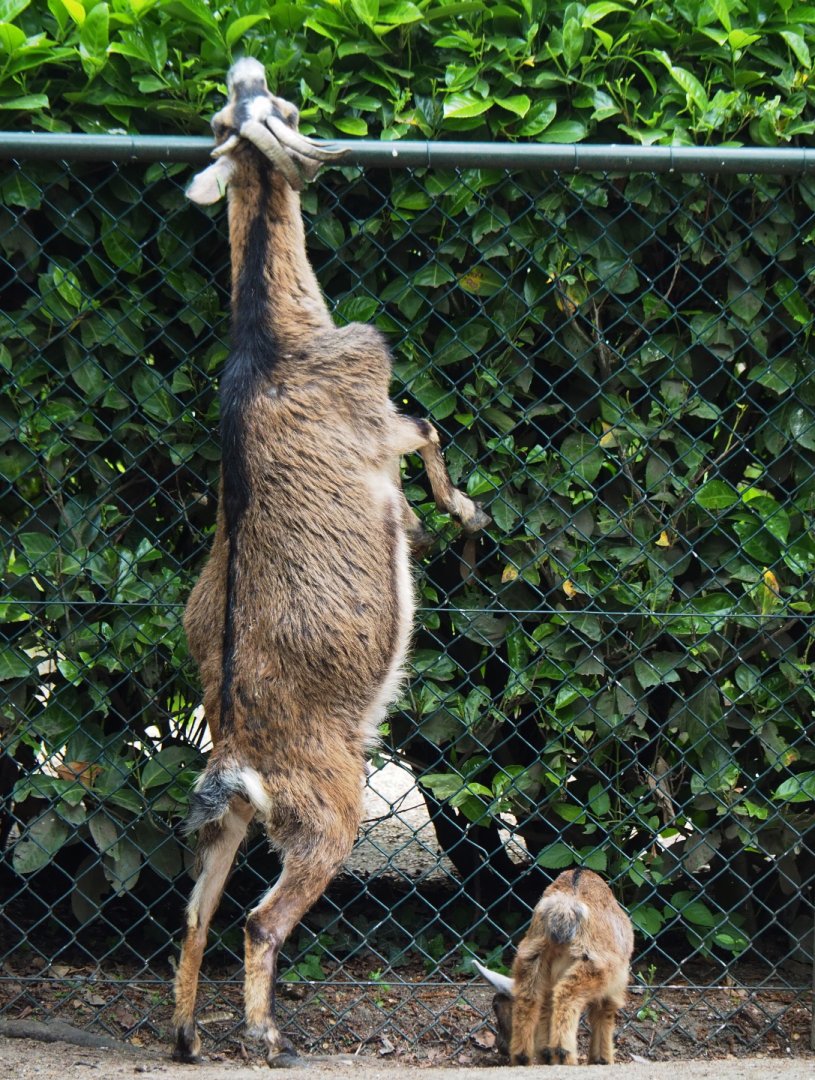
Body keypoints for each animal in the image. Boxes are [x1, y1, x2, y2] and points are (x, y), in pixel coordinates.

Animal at [172, 58, 490, 1068]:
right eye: (277, 111)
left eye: (231, 110)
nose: (248, 66)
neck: (273, 339)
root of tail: (240, 754)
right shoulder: (381, 421)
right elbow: (431, 434)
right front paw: (460, 517)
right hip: (327, 813)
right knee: (259, 922)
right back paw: (264, 1033)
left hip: (230, 823)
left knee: (196, 917)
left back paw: (186, 1036)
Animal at [475, 868, 634, 1066]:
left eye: (497, 1007)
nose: (500, 1046)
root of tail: (564, 906)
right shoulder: (613, 987)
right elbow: (603, 1017)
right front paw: (601, 1060)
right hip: (593, 965)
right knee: (567, 997)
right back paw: (564, 1054)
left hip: (531, 957)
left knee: (529, 999)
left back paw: (523, 1057)